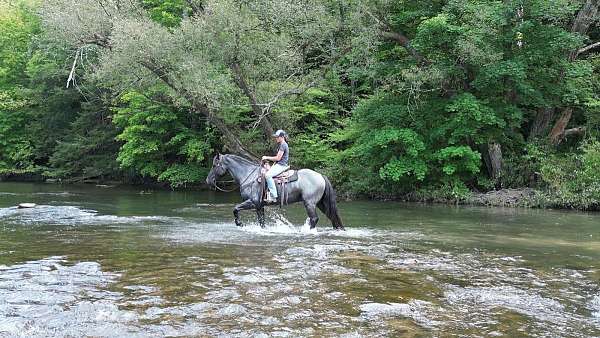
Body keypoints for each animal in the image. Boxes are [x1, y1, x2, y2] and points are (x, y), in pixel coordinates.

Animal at [206, 154, 344, 230]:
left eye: (214, 165)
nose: (208, 180)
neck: (248, 175)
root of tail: (320, 175)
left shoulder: (253, 202)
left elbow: (235, 209)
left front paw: (239, 223)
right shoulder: (259, 206)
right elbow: (262, 222)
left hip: (309, 203)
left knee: (314, 219)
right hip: (321, 203)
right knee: (331, 216)